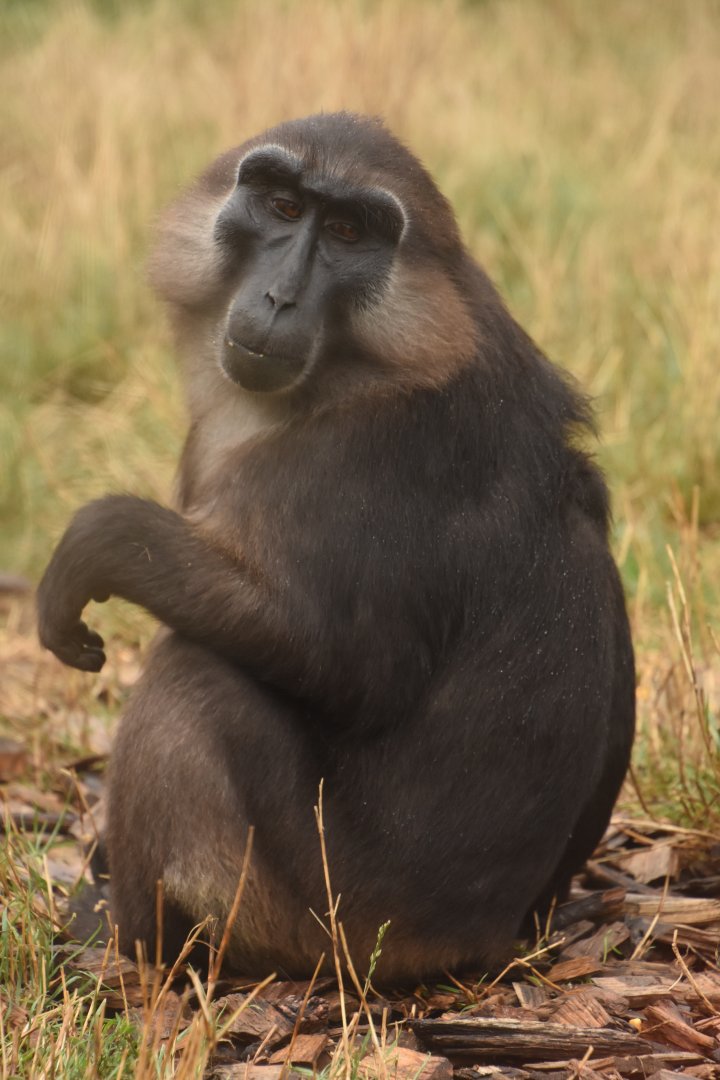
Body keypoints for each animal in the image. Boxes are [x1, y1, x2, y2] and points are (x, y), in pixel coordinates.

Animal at [36, 112, 635, 981]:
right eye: (283, 208)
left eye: (350, 232)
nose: (280, 297)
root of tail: (488, 939)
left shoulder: (376, 454)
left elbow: (353, 669)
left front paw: (104, 540)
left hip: (323, 919)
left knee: (193, 684)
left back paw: (130, 943)